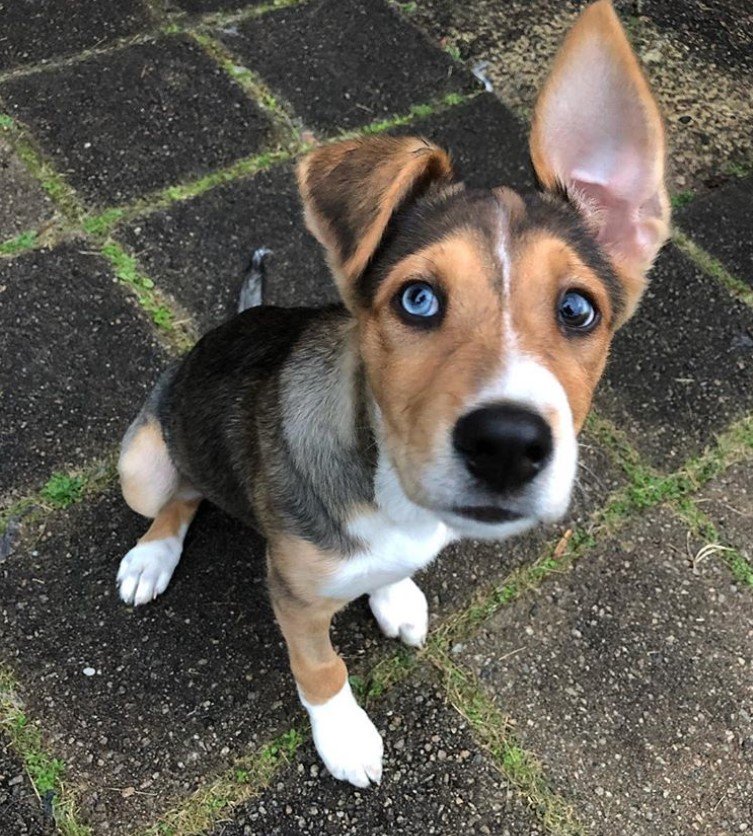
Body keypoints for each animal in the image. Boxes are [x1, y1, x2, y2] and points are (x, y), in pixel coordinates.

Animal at [114, 0, 668, 788]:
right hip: (143, 462)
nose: (507, 445)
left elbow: (391, 573)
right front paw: (344, 735)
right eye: (417, 300)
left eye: (577, 310)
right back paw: (151, 557)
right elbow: (320, 667)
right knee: (181, 493)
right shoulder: (293, 595)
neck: (386, 483)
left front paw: (394, 592)